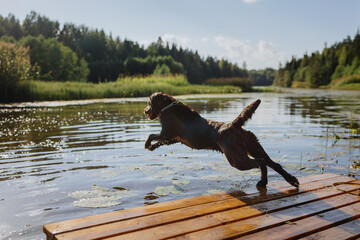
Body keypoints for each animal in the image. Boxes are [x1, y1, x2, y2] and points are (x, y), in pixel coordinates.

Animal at [143, 92, 298, 188]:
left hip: (236, 158)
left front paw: (146, 144)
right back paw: (292, 180)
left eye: (149, 103)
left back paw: (263, 182)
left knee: (261, 162)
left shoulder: (166, 133)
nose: (145, 111)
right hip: (253, 146)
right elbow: (159, 142)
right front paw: (151, 147)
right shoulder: (174, 138)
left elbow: (151, 135)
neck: (167, 107)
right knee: (274, 163)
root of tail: (234, 125)